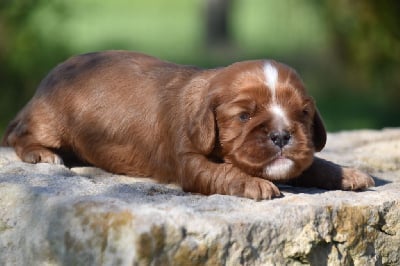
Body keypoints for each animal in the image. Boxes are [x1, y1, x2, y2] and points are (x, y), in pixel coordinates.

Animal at [1, 50, 374, 200]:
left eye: (302, 115)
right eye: (244, 116)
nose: (282, 135)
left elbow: (314, 163)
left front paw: (348, 173)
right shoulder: (188, 159)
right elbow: (224, 172)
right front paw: (255, 184)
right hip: (50, 121)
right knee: (19, 133)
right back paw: (42, 154)